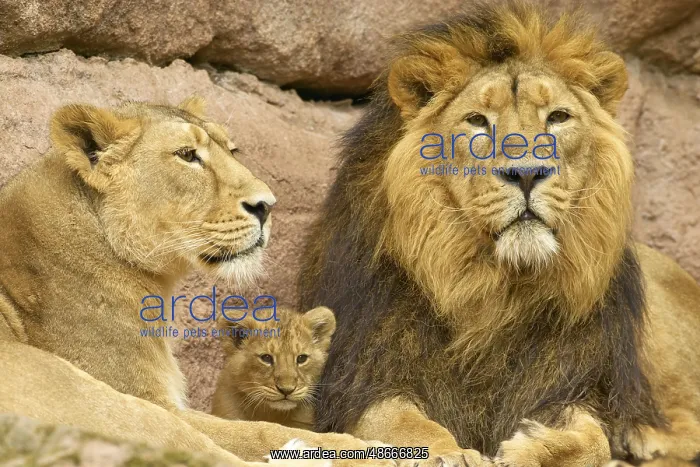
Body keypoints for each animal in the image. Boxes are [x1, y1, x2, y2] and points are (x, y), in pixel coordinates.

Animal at [299, 3, 700, 466]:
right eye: (477, 121)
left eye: (558, 117)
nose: (526, 173)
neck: (491, 289)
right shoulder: (364, 376)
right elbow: (404, 424)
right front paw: (447, 453)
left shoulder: (568, 383)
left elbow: (593, 440)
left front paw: (533, 449)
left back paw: (639, 434)